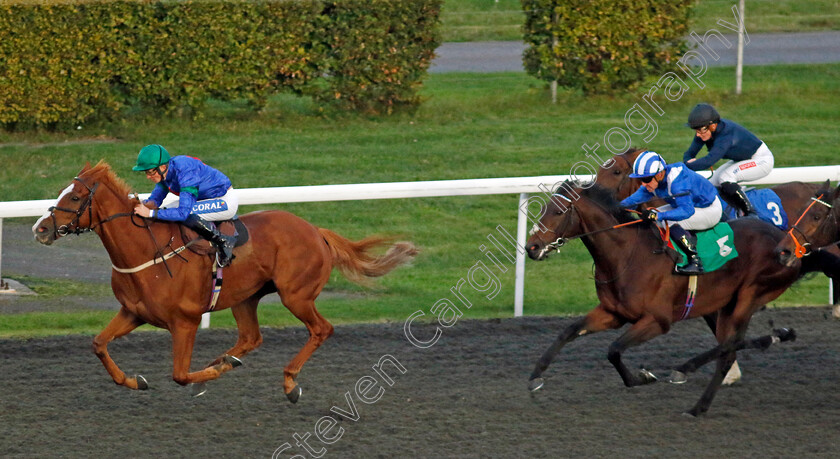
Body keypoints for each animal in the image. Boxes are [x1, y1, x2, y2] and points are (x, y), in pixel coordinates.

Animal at [31, 163, 418, 402]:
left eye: (75, 197)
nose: (40, 228)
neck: (147, 253)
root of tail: (315, 230)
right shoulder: (133, 312)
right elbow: (99, 344)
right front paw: (134, 380)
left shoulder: (185, 322)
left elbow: (180, 374)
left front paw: (208, 374)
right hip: (246, 297)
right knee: (251, 337)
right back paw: (227, 360)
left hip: (296, 295)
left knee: (321, 329)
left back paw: (288, 381)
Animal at [528, 182, 804, 416]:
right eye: (541, 210)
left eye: (558, 211)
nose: (531, 247)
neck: (627, 254)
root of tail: (787, 242)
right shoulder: (613, 313)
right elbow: (569, 331)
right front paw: (535, 377)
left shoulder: (657, 320)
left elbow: (614, 349)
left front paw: (642, 378)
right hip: (728, 303)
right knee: (730, 347)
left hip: (750, 294)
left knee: (730, 344)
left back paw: (686, 372)